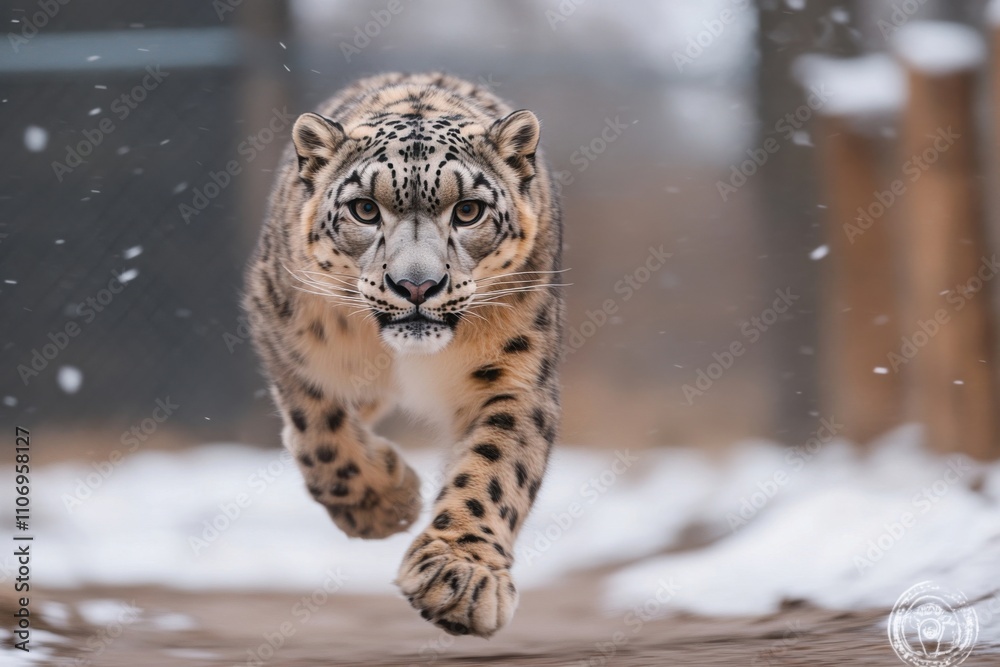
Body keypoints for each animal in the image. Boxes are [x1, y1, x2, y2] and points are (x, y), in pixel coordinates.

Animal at [243, 72, 564, 638]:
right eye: (365, 209)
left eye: (468, 210)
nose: (417, 285)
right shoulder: (288, 339)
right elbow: (320, 434)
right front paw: (384, 504)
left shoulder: (516, 373)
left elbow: (494, 467)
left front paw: (459, 579)